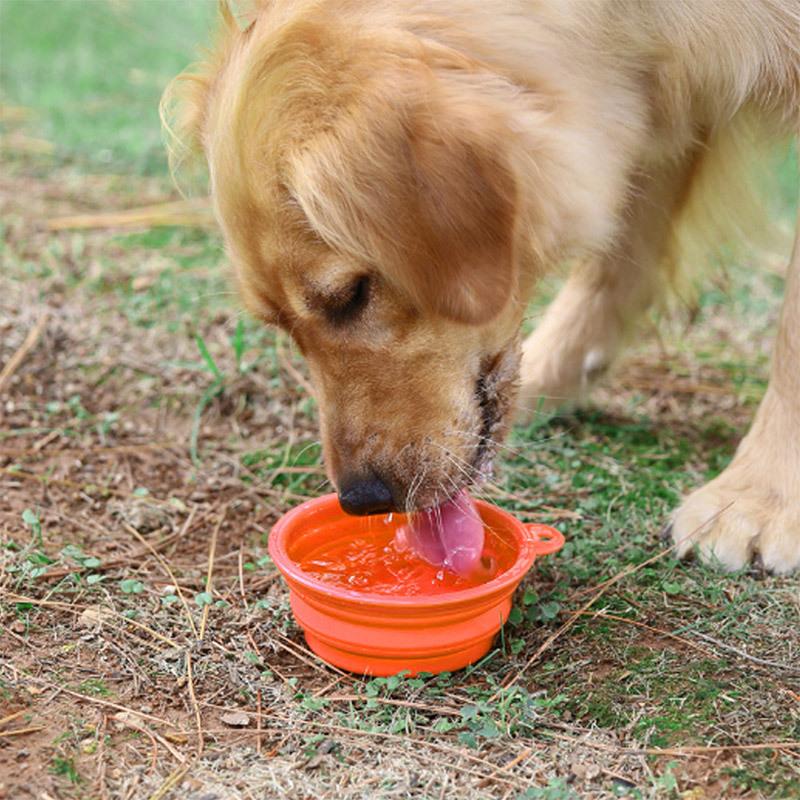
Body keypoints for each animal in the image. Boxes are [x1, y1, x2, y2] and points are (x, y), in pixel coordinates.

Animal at [159, 1, 796, 576]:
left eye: (351, 295)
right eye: (282, 327)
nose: (361, 501)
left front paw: (759, 497)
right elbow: (616, 258)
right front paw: (556, 370)